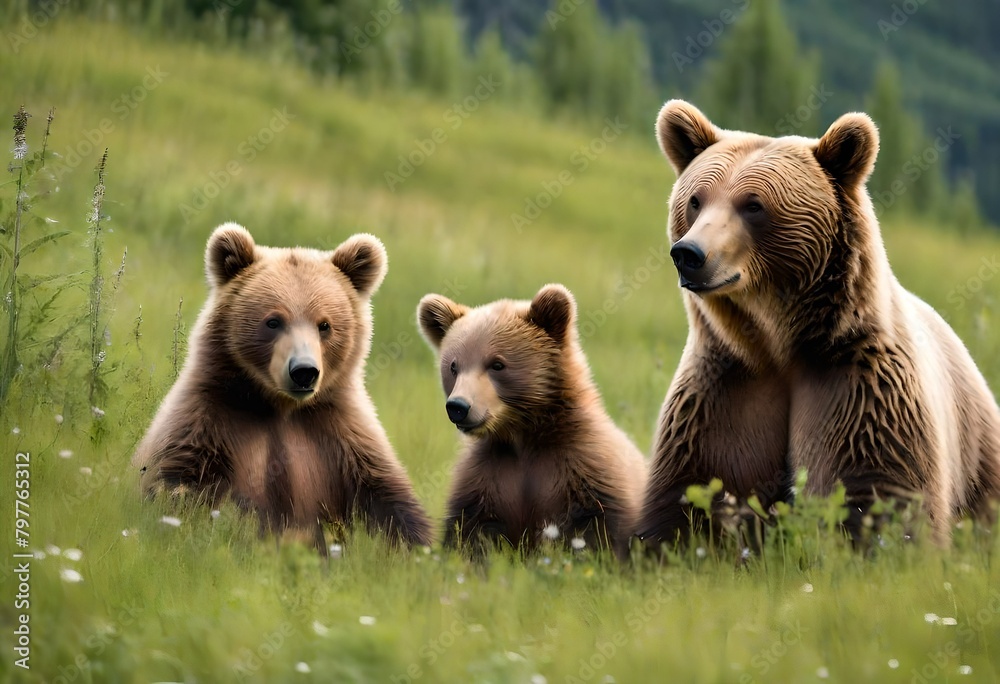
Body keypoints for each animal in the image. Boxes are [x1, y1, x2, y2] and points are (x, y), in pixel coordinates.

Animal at [133, 223, 433, 550]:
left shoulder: (343, 434)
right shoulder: (208, 419)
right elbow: (175, 486)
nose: (304, 372)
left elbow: (388, 504)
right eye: (273, 321)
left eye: (325, 325)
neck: (282, 407)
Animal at [417, 284, 647, 559]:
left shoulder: (584, 470)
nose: (458, 407)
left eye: (497, 364)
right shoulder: (487, 478)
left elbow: (598, 529)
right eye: (453, 366)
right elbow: (472, 533)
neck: (523, 435)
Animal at [639, 100, 1000, 548]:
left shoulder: (860, 388)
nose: (689, 253)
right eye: (695, 200)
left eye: (753, 204)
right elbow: (690, 498)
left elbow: (880, 495)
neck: (776, 344)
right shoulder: (722, 389)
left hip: (976, 448)